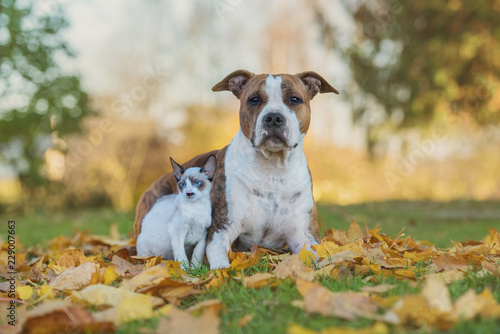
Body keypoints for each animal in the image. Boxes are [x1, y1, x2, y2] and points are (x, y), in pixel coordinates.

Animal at [133, 70, 338, 268]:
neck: (272, 170)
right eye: (254, 99)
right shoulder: (220, 230)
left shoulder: (305, 236)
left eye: (294, 99)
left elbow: (318, 258)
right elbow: (220, 262)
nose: (273, 117)